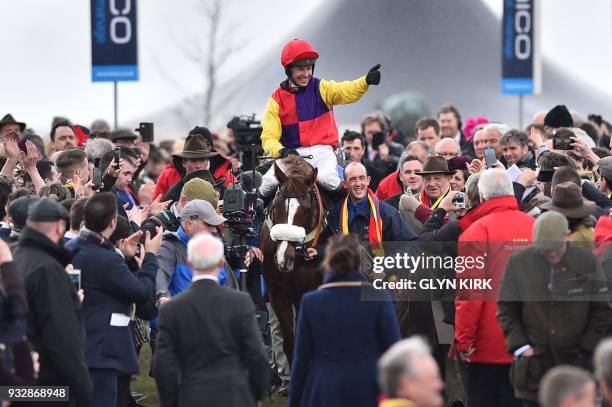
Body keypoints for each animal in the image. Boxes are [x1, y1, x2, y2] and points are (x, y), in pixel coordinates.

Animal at [262, 156, 330, 364]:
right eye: (275, 207)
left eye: (306, 210)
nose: (283, 258)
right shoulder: (277, 293)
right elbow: (290, 343)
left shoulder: (308, 291)